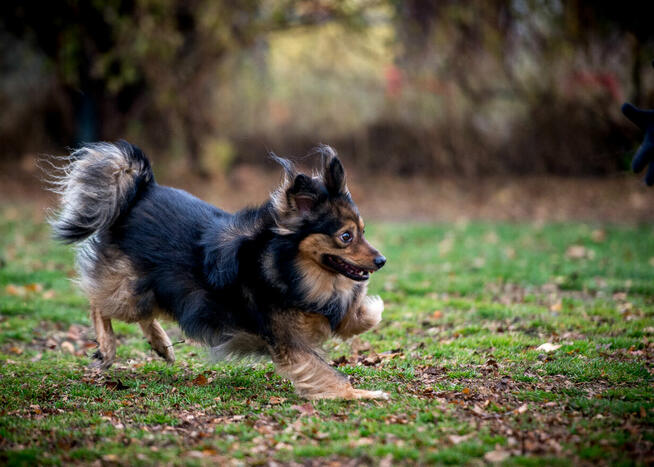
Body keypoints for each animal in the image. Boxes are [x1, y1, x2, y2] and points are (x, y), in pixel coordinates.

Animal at [51, 141, 392, 400]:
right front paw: (363, 395)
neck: (288, 266)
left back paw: (162, 345)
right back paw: (108, 348)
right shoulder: (287, 341)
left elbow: (356, 317)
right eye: (346, 237)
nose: (381, 261)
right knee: (98, 302)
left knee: (141, 311)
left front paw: (368, 309)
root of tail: (141, 190)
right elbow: (328, 373)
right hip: (131, 290)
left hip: (153, 288)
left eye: (363, 232)